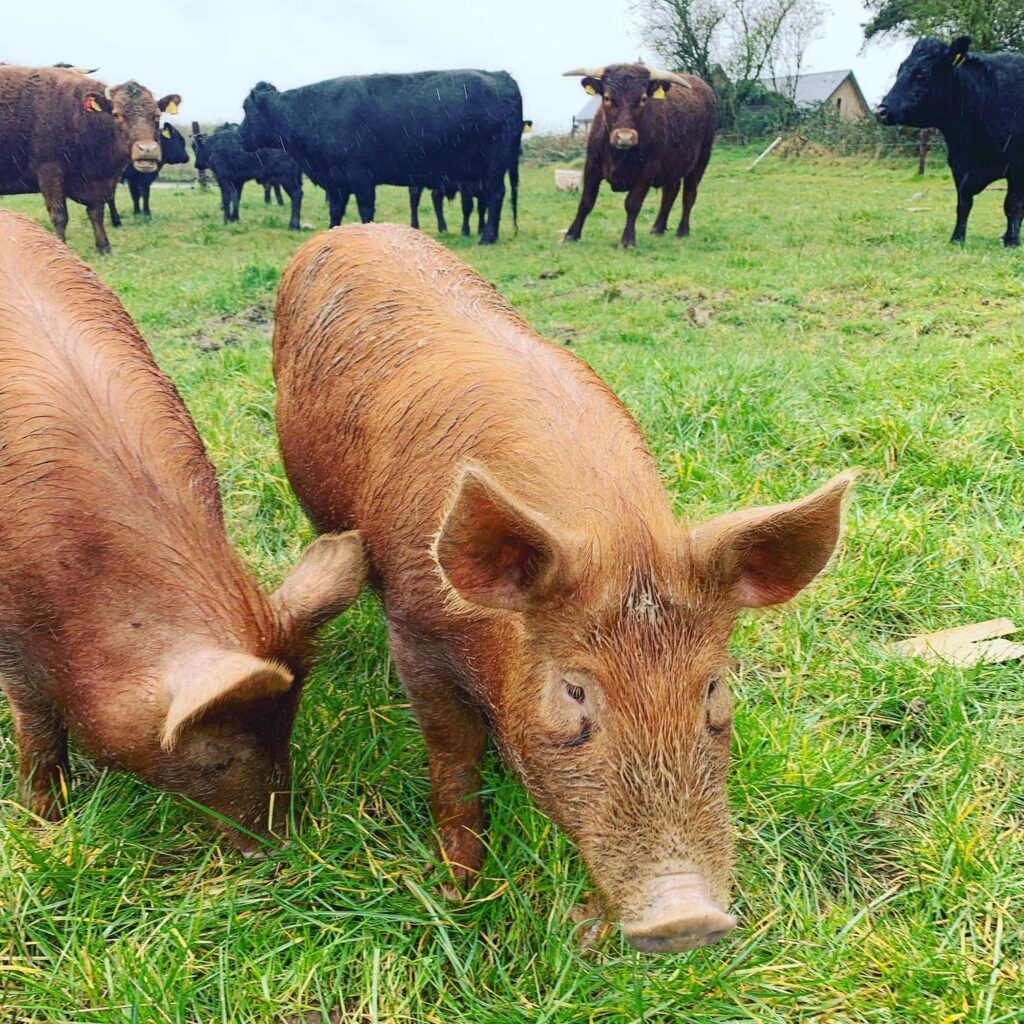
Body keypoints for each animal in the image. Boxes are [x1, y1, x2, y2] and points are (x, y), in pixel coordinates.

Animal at [0, 66, 180, 252]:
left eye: (157, 115)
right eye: (116, 114)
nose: (147, 149)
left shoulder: (99, 182)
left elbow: (96, 212)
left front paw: (104, 247)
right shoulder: (49, 172)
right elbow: (59, 216)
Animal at [239, 70, 523, 244]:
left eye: (245, 108)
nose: (240, 135)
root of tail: (500, 75)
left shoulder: (361, 178)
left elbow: (366, 211)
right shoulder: (337, 183)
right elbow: (335, 212)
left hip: (493, 165)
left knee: (496, 195)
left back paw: (487, 237)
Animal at [273, 223, 853, 951]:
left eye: (713, 687)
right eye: (574, 690)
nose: (686, 916)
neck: (619, 536)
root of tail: (352, 228)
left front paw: (589, 933)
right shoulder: (415, 631)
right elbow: (453, 760)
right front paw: (456, 892)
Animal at [562, 64, 718, 248]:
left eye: (643, 99)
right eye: (607, 97)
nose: (625, 137)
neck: (617, 155)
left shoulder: (646, 171)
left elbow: (633, 203)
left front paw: (627, 240)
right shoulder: (592, 165)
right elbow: (586, 201)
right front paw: (571, 235)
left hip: (700, 161)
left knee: (689, 196)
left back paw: (683, 230)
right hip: (672, 166)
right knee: (670, 194)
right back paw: (658, 228)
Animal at [879, 36, 1024, 246]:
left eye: (922, 73)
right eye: (900, 70)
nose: (881, 110)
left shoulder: (1017, 167)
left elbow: (1012, 205)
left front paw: (1012, 241)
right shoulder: (959, 165)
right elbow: (963, 204)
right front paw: (957, 238)